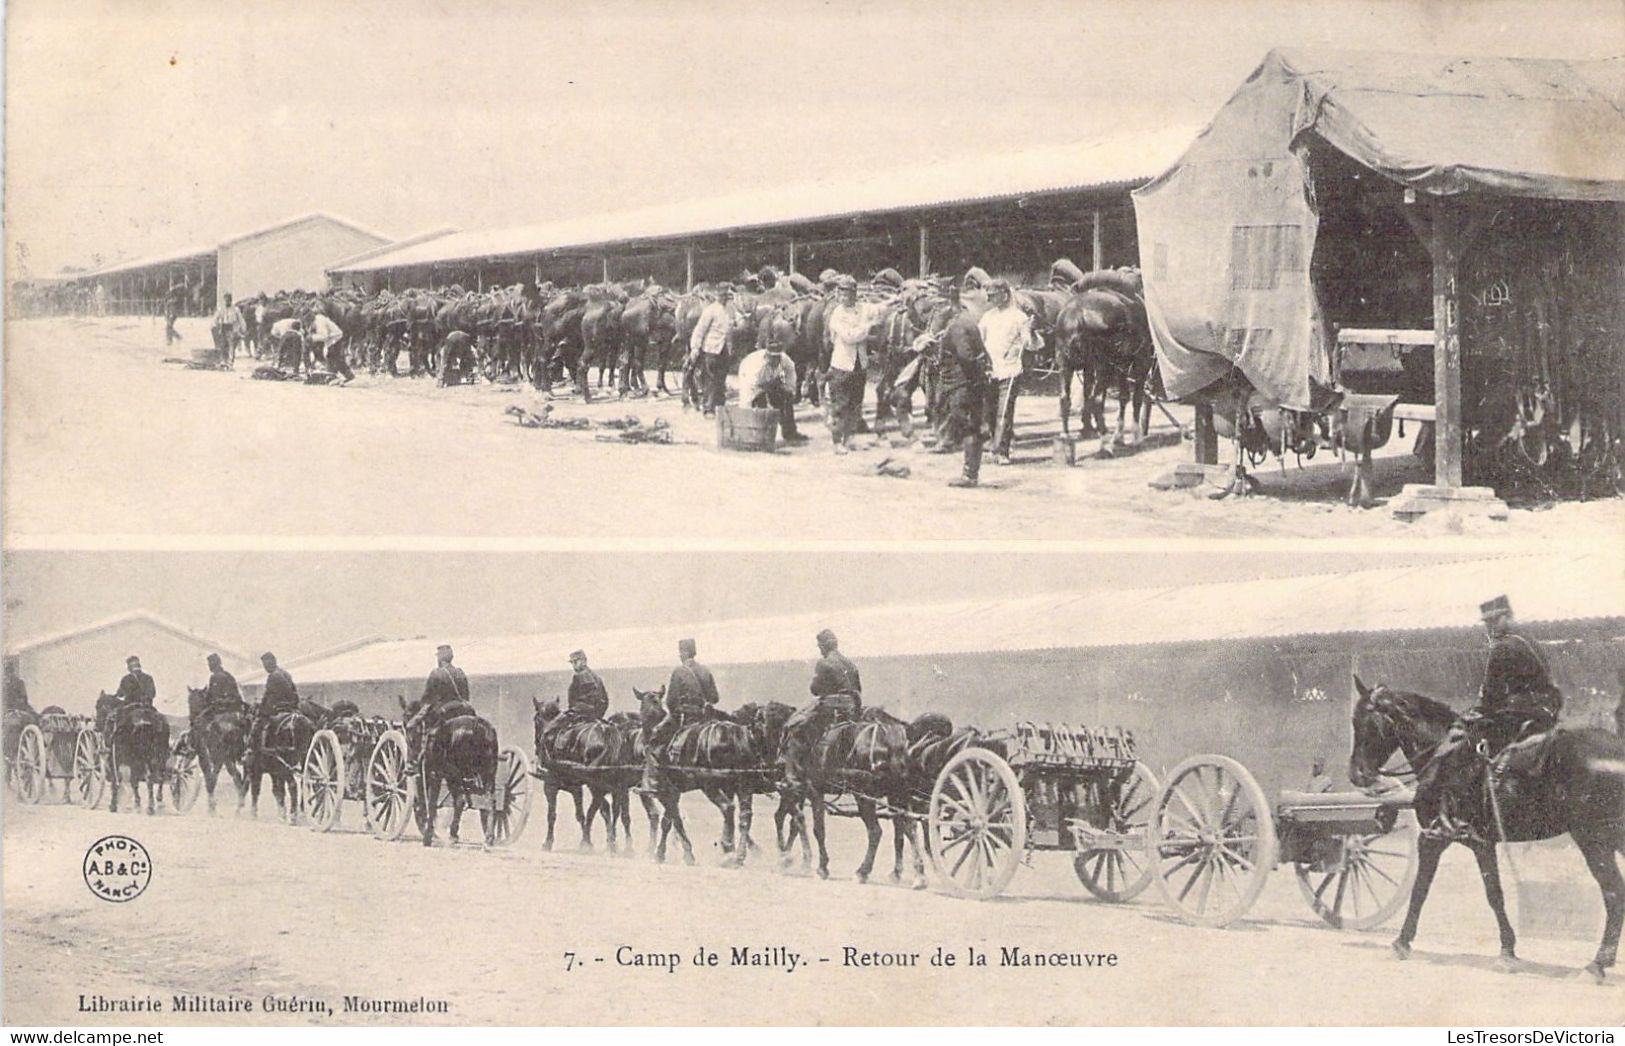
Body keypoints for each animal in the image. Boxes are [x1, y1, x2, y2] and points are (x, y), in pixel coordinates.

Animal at [183, 685, 248, 818]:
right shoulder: (204, 757)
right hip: (228, 760)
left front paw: (212, 808)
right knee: (237, 776)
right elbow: (209, 779)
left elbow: (212, 779)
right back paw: (239, 805)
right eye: (189, 701)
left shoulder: (219, 757)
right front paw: (211, 807)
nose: (194, 722)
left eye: (201, 701)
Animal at [398, 695, 494, 851]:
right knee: (486, 801)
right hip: (482, 775)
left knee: (459, 800)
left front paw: (428, 835)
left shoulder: (431, 774)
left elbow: (428, 803)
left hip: (454, 775)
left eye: (411, 727)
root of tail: (476, 727)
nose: (410, 765)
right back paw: (485, 839)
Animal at [1345, 678, 1625, 981]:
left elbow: (1445, 891)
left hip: (1594, 840)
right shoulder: (1463, 841)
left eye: (1366, 723)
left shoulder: (1446, 840)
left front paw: (1402, 942)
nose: (1357, 775)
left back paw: (1597, 965)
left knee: (1614, 893)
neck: (1443, 754)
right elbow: (1462, 892)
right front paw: (1507, 950)